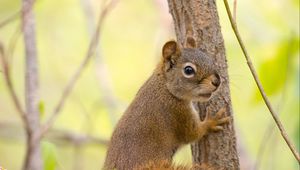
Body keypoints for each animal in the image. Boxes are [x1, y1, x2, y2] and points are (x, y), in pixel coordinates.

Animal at [103, 38, 230, 170]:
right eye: (188, 70)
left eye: (210, 59)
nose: (217, 81)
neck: (165, 87)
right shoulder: (177, 113)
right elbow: (192, 134)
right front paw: (212, 121)